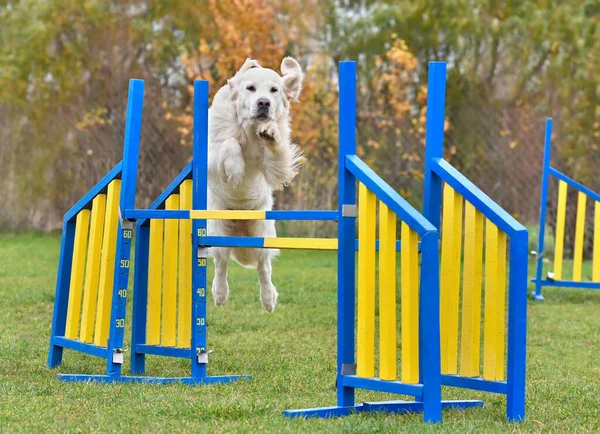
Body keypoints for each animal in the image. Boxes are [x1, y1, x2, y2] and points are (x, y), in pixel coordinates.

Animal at [207, 57, 304, 312]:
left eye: (274, 90)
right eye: (250, 88)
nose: (263, 103)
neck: (249, 131)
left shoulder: (275, 167)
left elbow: (276, 152)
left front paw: (269, 132)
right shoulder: (210, 154)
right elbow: (230, 143)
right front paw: (236, 169)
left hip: (263, 233)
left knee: (263, 268)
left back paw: (268, 299)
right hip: (217, 231)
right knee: (221, 264)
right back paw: (219, 294)